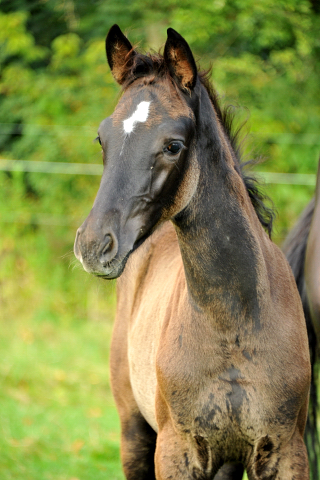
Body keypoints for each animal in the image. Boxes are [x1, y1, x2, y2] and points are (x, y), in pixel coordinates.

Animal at [74, 27, 310, 480]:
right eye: (101, 138)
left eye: (173, 145)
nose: (94, 245)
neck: (232, 324)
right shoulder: (176, 451)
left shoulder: (286, 451)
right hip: (134, 432)